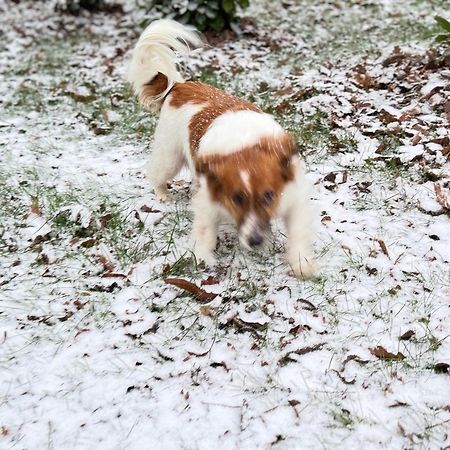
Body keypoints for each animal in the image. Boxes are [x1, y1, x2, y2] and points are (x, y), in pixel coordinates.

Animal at [127, 19, 316, 278]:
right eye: (236, 198)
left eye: (269, 195)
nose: (255, 241)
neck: (245, 145)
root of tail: (179, 86)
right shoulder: (208, 201)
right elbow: (205, 231)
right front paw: (202, 258)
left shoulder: (294, 196)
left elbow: (298, 231)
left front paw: (301, 262)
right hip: (170, 158)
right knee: (156, 174)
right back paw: (162, 193)